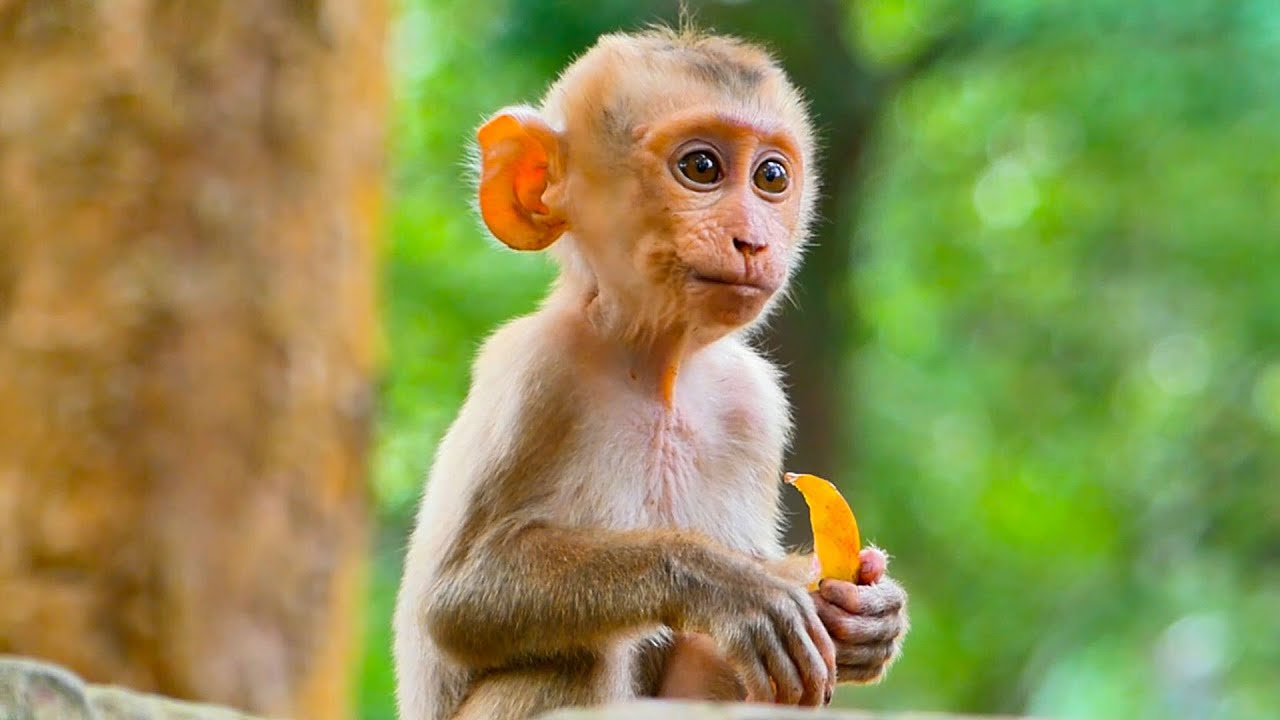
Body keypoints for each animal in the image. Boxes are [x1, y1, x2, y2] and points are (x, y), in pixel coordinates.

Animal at [393, 26, 908, 720]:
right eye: (702, 168)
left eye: (771, 176)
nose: (753, 240)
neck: (657, 370)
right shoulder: (535, 375)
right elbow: (455, 603)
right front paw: (722, 583)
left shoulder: (753, 403)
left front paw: (867, 615)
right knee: (580, 654)